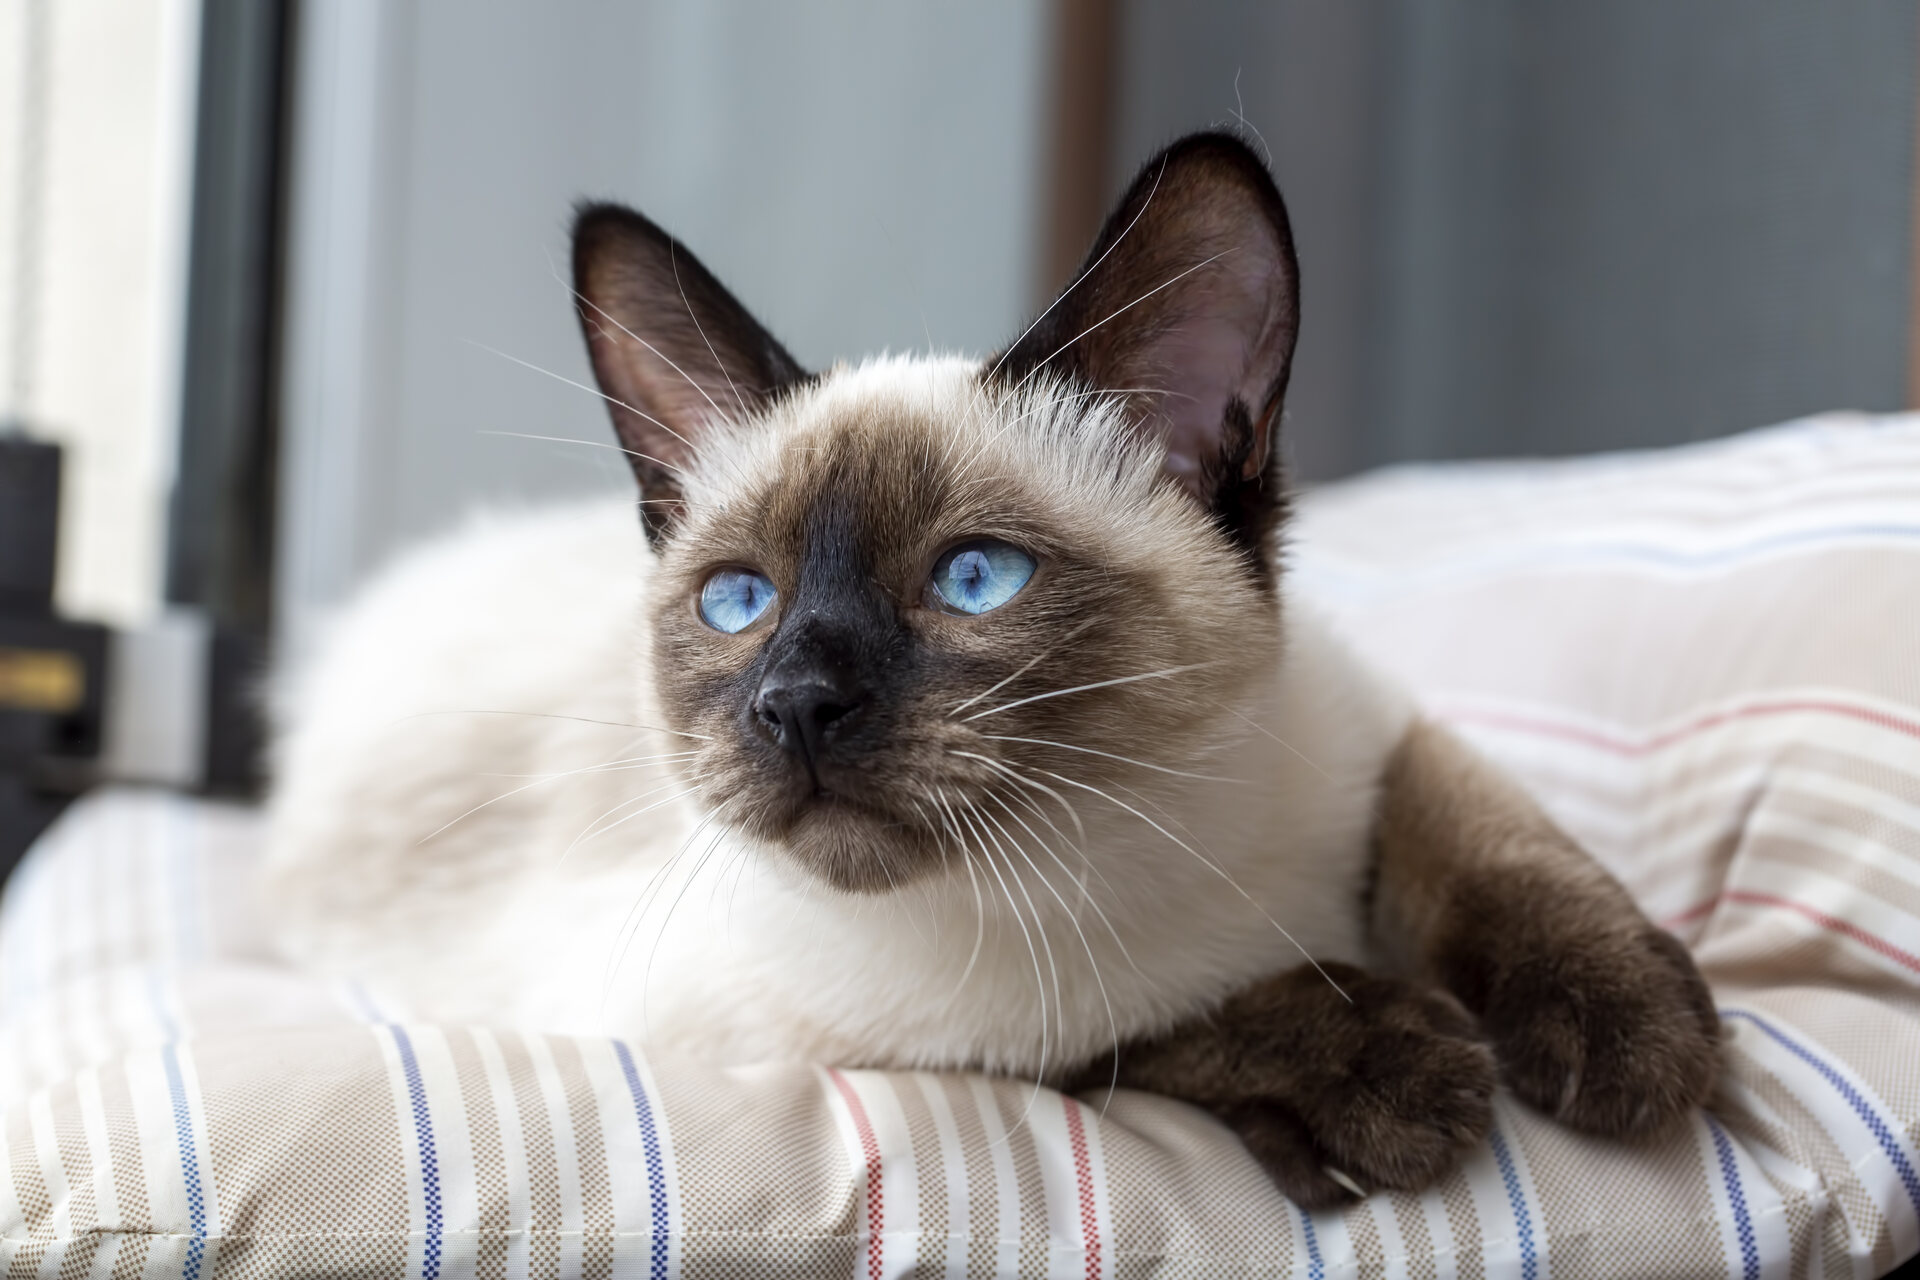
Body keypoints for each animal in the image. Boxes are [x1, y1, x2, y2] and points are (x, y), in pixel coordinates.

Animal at [263, 135, 1720, 1205]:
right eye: (741, 601)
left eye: (973, 579)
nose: (794, 704)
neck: (1157, 833)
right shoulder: (811, 1036)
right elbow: (1110, 1031)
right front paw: (1390, 1074)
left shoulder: (1382, 716)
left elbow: (1485, 829)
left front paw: (1633, 1033)